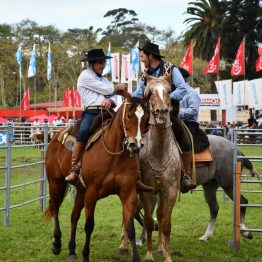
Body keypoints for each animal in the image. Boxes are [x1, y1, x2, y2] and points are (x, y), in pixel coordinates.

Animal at [44, 90, 148, 262]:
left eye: (146, 118)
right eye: (129, 115)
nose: (135, 145)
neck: (114, 154)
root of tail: (55, 137)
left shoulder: (129, 194)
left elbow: (130, 227)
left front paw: (135, 257)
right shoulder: (92, 193)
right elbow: (89, 226)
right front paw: (86, 255)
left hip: (80, 191)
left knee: (74, 216)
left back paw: (72, 250)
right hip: (56, 183)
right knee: (55, 208)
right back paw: (57, 244)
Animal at [121, 74, 182, 262]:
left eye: (168, 90)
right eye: (150, 92)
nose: (161, 112)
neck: (159, 153)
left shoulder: (169, 190)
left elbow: (165, 222)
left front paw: (167, 255)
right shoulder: (145, 191)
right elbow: (148, 221)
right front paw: (148, 255)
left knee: (160, 215)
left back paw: (161, 247)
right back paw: (123, 244)